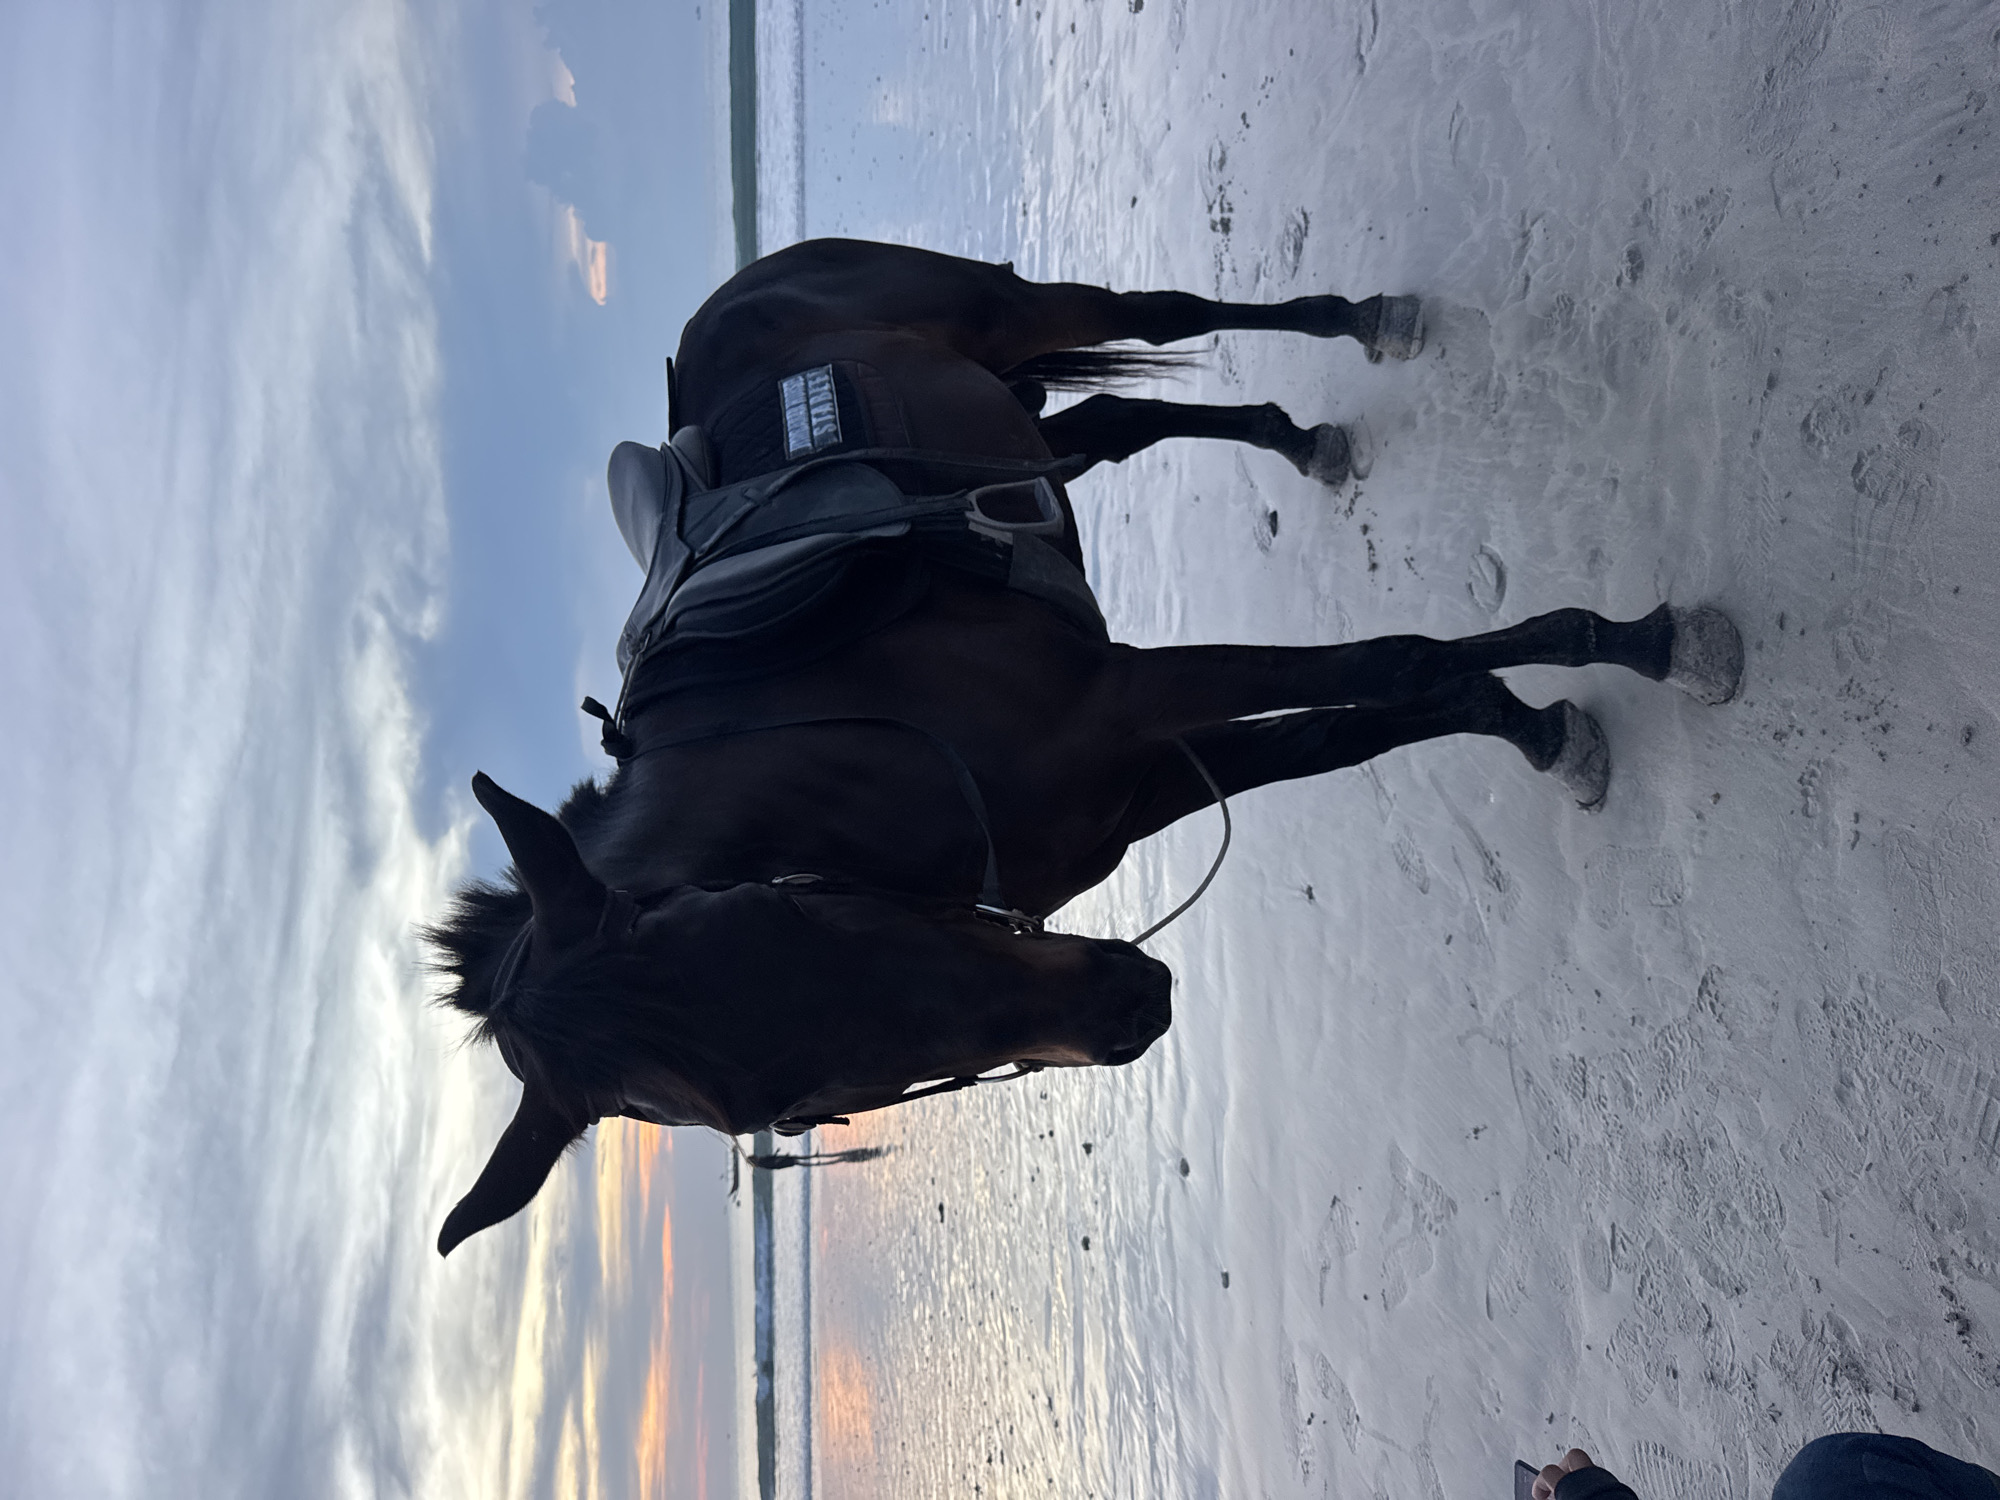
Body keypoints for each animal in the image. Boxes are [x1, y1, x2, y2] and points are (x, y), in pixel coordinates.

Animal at [426, 238, 1741, 1256]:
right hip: (1024, 418)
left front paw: (1627, 647)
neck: (846, 750)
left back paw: (1363, 323)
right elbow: (1360, 722)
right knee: (1120, 420)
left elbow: (1394, 666)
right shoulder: (1140, 773)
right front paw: (1537, 723)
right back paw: (1297, 437)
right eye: (788, 1111)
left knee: (1167, 315)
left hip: (1012, 306)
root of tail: (738, 290)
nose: (1127, 1008)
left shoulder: (1125, 701)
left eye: (789, 905)